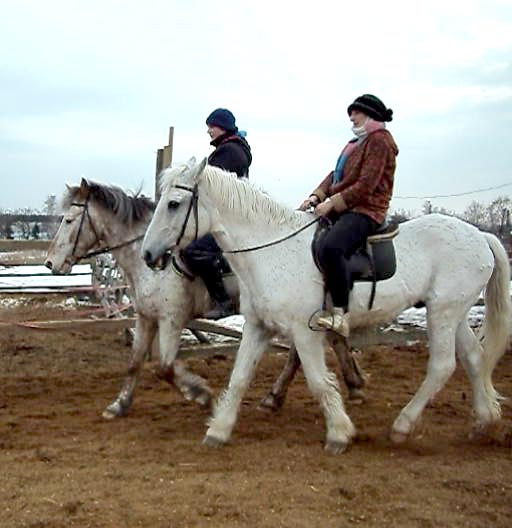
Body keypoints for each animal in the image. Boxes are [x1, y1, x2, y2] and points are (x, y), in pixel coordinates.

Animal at [45, 178, 365, 420]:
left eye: (69, 219)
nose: (50, 263)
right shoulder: (145, 317)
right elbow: (135, 362)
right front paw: (119, 404)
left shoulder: (171, 319)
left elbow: (165, 367)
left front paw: (202, 395)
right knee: (331, 340)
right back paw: (350, 385)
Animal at [142, 157, 511, 454]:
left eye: (174, 204)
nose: (148, 254)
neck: (271, 250)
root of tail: (481, 236)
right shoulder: (258, 327)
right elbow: (239, 377)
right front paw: (218, 430)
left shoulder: (304, 332)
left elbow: (319, 381)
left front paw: (339, 433)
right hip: (453, 312)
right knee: (474, 358)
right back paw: (483, 423)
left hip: (443, 313)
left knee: (442, 366)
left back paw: (402, 426)